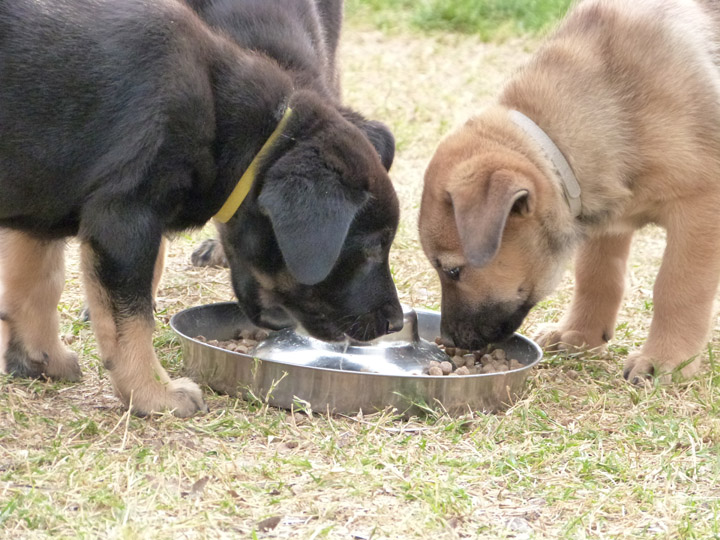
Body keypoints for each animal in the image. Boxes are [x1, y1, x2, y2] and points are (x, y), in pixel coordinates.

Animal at [0, 0, 402, 418]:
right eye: (373, 248)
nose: (396, 322)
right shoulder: (124, 219)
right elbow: (131, 322)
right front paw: (154, 394)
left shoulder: (41, 187)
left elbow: (38, 281)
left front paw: (40, 359)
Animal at [420, 0, 720, 382]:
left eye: (453, 271)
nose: (448, 339)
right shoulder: (604, 213)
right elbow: (597, 276)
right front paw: (580, 333)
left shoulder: (701, 207)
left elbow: (678, 287)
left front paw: (667, 359)